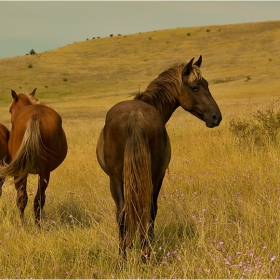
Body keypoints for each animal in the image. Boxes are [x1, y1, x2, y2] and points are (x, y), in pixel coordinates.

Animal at [0, 89, 67, 225]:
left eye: (10, 110)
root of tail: (36, 115)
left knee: (25, 199)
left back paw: (25, 225)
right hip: (43, 172)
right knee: (36, 200)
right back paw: (35, 225)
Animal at [97, 55, 223, 266]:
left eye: (206, 84)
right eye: (195, 87)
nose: (216, 117)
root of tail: (135, 115)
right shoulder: (159, 175)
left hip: (119, 178)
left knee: (128, 213)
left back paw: (128, 258)